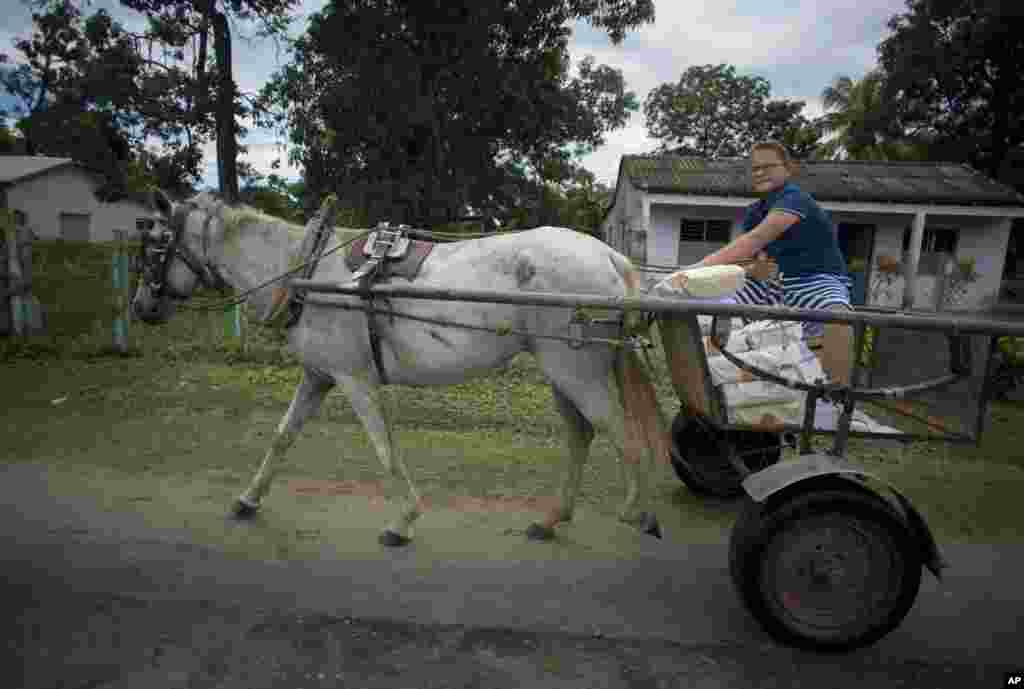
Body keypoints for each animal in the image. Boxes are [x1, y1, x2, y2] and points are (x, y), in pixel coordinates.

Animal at [132, 190, 671, 544]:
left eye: (156, 245)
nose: (141, 307)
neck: (305, 269)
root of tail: (610, 256)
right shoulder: (319, 376)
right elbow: (283, 436)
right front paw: (248, 499)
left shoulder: (355, 379)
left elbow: (384, 448)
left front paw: (403, 520)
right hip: (561, 371)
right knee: (582, 434)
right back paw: (552, 519)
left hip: (576, 370)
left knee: (624, 435)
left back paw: (639, 514)